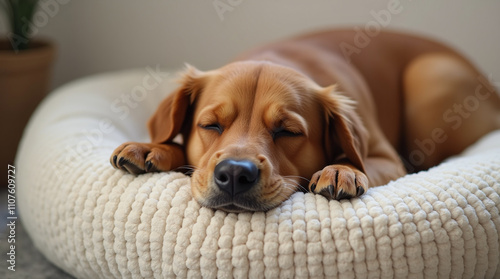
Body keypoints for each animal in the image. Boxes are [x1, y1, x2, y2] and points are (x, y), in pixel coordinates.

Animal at [111, 29, 500, 212]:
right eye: (210, 125)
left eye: (288, 131)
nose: (235, 174)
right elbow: (177, 145)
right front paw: (152, 147)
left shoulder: (388, 159)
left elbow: (360, 162)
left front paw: (341, 169)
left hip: (430, 78)